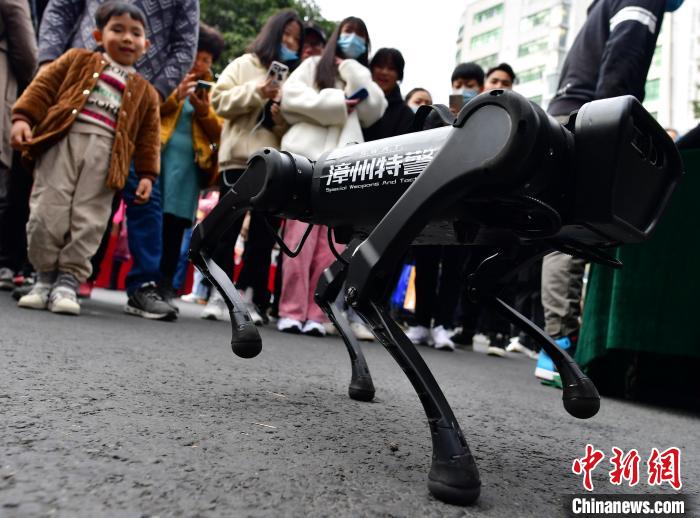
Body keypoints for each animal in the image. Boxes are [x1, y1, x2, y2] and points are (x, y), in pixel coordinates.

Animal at [189, 90, 680, 508]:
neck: (564, 152)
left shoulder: (527, 227)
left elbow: (476, 286)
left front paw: (578, 386)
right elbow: (365, 287)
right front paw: (453, 463)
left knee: (329, 282)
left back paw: (359, 374)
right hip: (284, 179)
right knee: (237, 206)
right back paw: (244, 325)